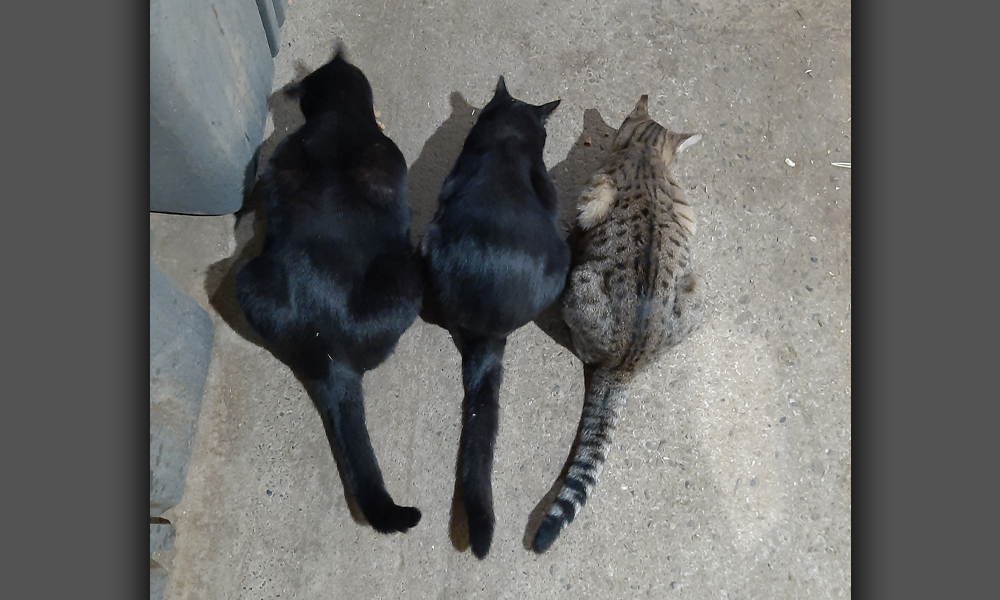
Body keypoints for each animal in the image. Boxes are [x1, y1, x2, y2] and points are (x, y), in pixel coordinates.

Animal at [536, 95, 708, 552]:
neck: (646, 154)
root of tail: (627, 365)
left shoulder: (593, 194)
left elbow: (586, 210)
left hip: (578, 283)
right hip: (698, 289)